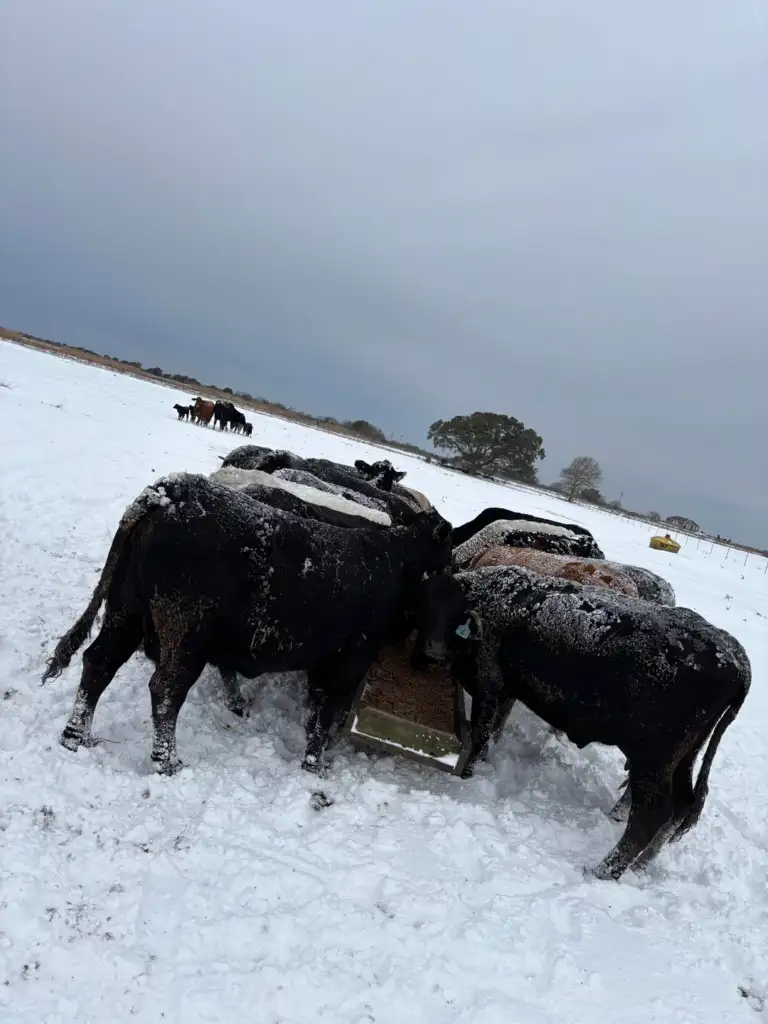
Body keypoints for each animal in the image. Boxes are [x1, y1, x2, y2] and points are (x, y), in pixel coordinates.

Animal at [411, 569, 753, 880]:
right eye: (424, 605)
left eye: (454, 615)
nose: (434, 650)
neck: (488, 599)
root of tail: (736, 658)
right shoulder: (506, 691)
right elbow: (493, 730)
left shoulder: (489, 687)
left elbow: (480, 732)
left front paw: (466, 775)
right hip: (684, 759)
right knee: (681, 809)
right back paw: (639, 868)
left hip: (653, 762)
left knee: (652, 815)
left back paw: (601, 871)